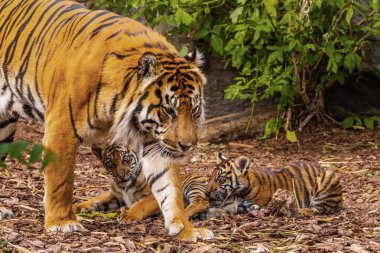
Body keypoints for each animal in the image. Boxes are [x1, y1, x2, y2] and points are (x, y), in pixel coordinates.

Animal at [0, 0, 211, 241]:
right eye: (169, 110)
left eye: (194, 109)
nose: (188, 146)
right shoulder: (62, 128)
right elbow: (61, 181)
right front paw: (62, 223)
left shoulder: (156, 142)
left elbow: (169, 188)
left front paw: (186, 229)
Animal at [206, 152, 342, 215]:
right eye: (210, 177)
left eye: (221, 179)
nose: (207, 193)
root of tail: (321, 169)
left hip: (327, 181)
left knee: (320, 208)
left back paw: (301, 210)